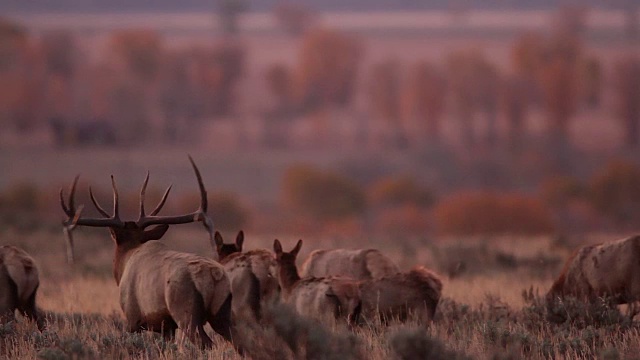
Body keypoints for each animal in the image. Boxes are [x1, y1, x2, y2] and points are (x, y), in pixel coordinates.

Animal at [59, 156, 232, 348]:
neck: (126, 261)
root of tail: (213, 276)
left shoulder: (132, 317)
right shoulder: (166, 326)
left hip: (185, 311)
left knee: (206, 343)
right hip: (224, 314)